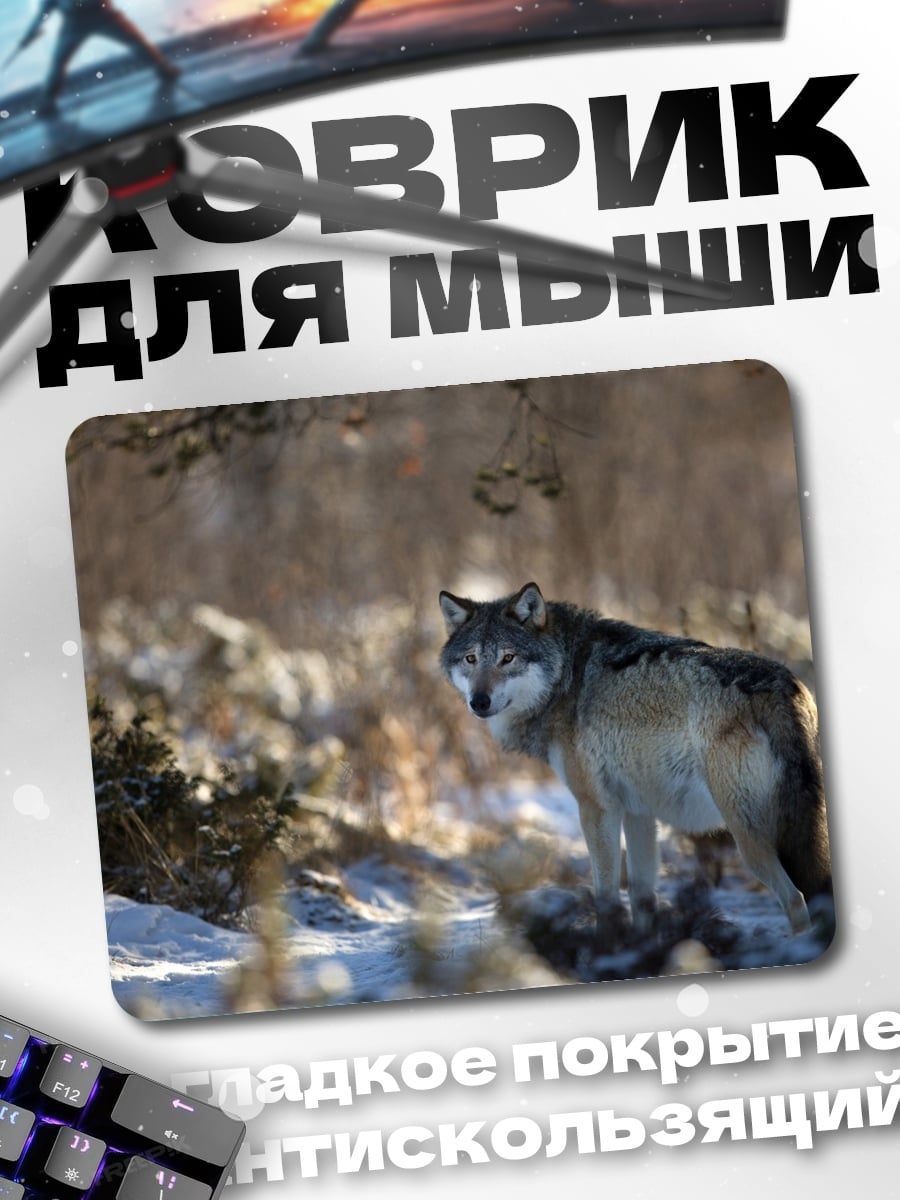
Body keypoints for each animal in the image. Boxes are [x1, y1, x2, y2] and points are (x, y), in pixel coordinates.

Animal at [439, 582, 831, 935]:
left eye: (508, 658)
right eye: (471, 659)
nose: (479, 701)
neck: (566, 674)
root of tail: (783, 686)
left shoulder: (596, 808)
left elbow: (607, 897)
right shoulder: (639, 811)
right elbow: (643, 898)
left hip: (748, 840)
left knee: (796, 898)